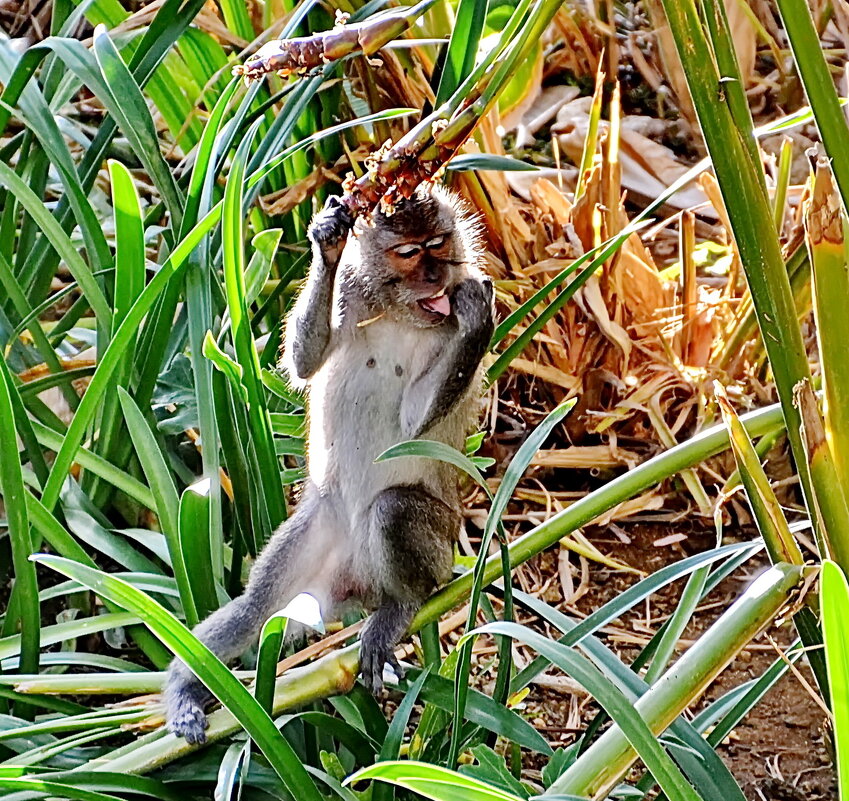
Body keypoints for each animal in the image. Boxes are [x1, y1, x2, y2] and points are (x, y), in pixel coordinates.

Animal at [163, 181, 494, 744]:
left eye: (439, 244)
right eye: (410, 253)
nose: (437, 276)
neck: (400, 314)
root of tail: (356, 586)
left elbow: (414, 424)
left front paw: (477, 310)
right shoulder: (351, 298)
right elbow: (303, 362)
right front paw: (329, 241)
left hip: (440, 547)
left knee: (393, 509)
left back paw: (400, 606)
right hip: (316, 538)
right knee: (255, 610)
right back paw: (187, 688)